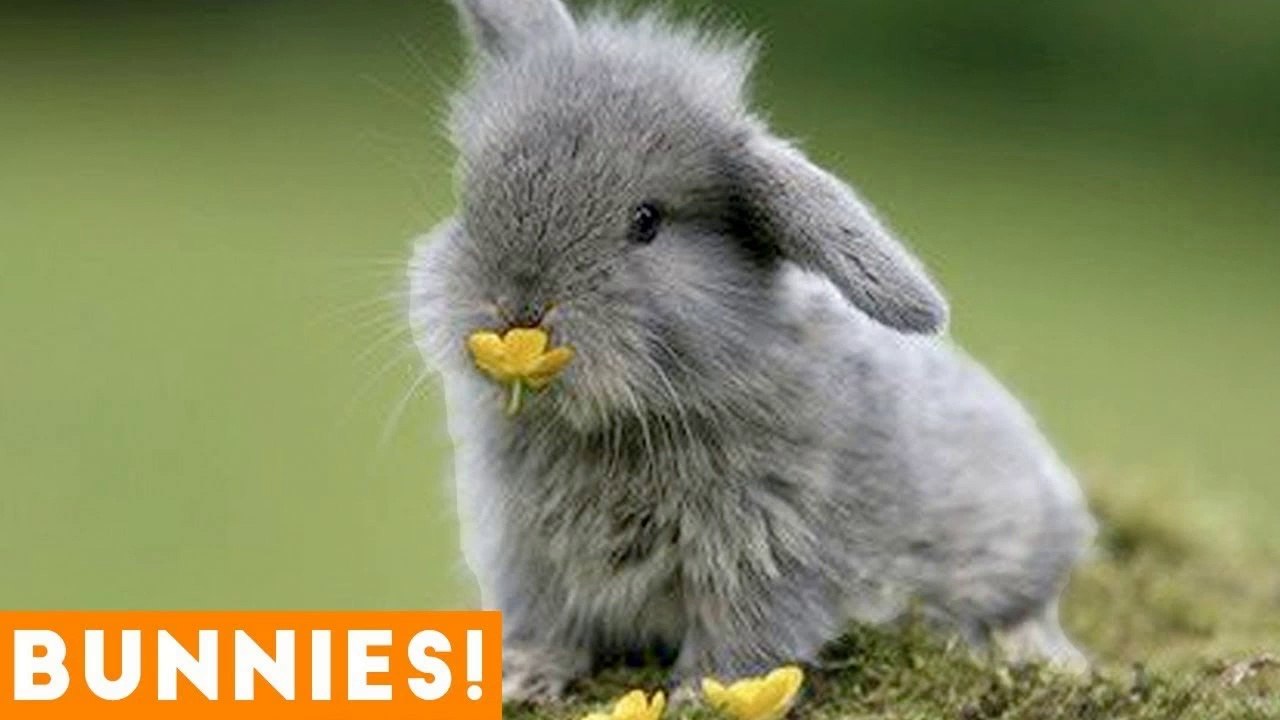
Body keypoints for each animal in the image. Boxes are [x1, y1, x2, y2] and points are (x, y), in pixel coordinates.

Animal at [408, 0, 1095, 703]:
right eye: (472, 198)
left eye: (646, 221)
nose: (516, 306)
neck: (619, 424)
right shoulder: (528, 556)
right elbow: (547, 624)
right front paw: (521, 678)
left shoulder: (768, 558)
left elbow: (741, 638)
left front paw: (702, 698)